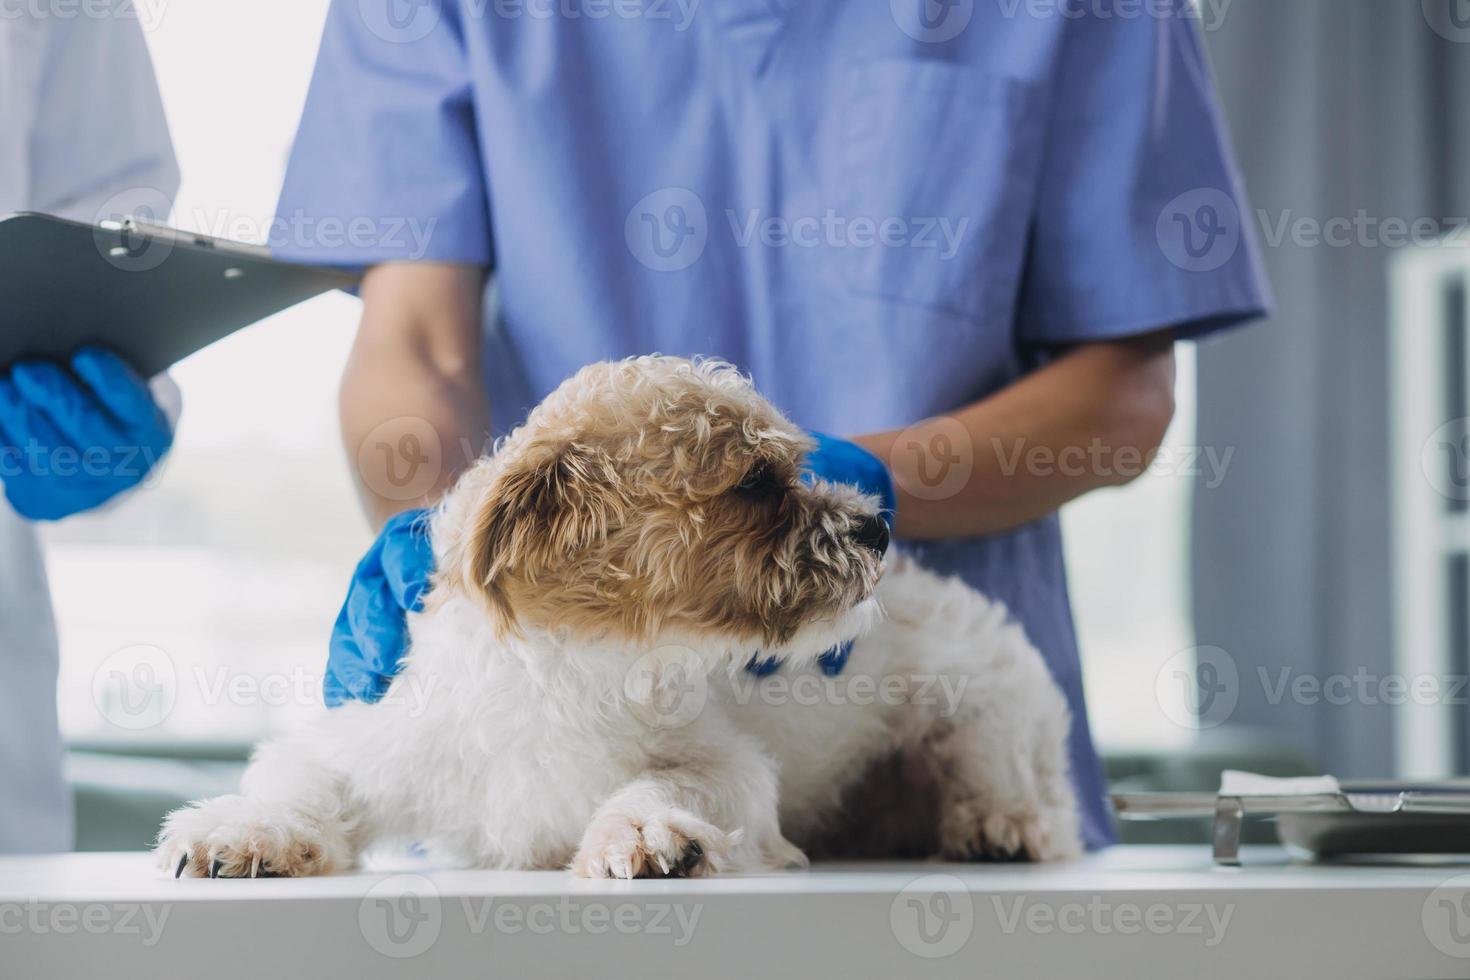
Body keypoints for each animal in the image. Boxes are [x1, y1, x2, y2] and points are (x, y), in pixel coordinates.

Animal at [160, 357, 1081, 875]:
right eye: (756, 483)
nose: (877, 527)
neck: (569, 679)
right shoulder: (369, 745)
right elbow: (296, 783)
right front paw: (240, 830)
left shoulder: (727, 767)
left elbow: (665, 782)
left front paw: (641, 832)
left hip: (986, 711)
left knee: (1024, 788)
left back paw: (999, 825)